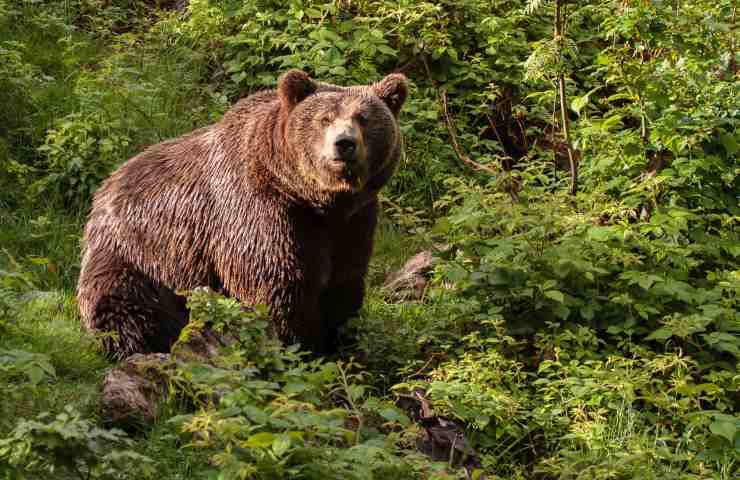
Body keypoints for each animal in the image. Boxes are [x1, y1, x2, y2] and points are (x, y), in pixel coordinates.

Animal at [78, 69, 408, 358]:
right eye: (324, 119)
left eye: (363, 118)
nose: (344, 144)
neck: (316, 199)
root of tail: (106, 185)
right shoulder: (261, 212)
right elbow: (277, 286)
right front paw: (303, 347)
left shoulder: (354, 221)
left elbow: (343, 283)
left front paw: (343, 345)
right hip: (140, 255)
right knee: (123, 306)